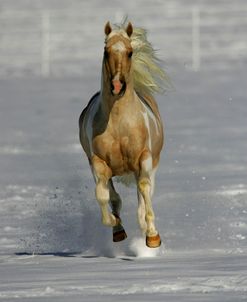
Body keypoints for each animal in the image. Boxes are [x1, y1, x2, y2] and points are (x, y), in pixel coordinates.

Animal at [80, 20, 169, 248]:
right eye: (106, 51)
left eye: (129, 52)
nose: (117, 85)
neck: (120, 124)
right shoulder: (98, 163)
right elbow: (105, 196)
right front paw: (115, 224)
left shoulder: (144, 159)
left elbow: (144, 191)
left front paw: (152, 236)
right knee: (114, 196)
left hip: (151, 164)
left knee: (144, 193)